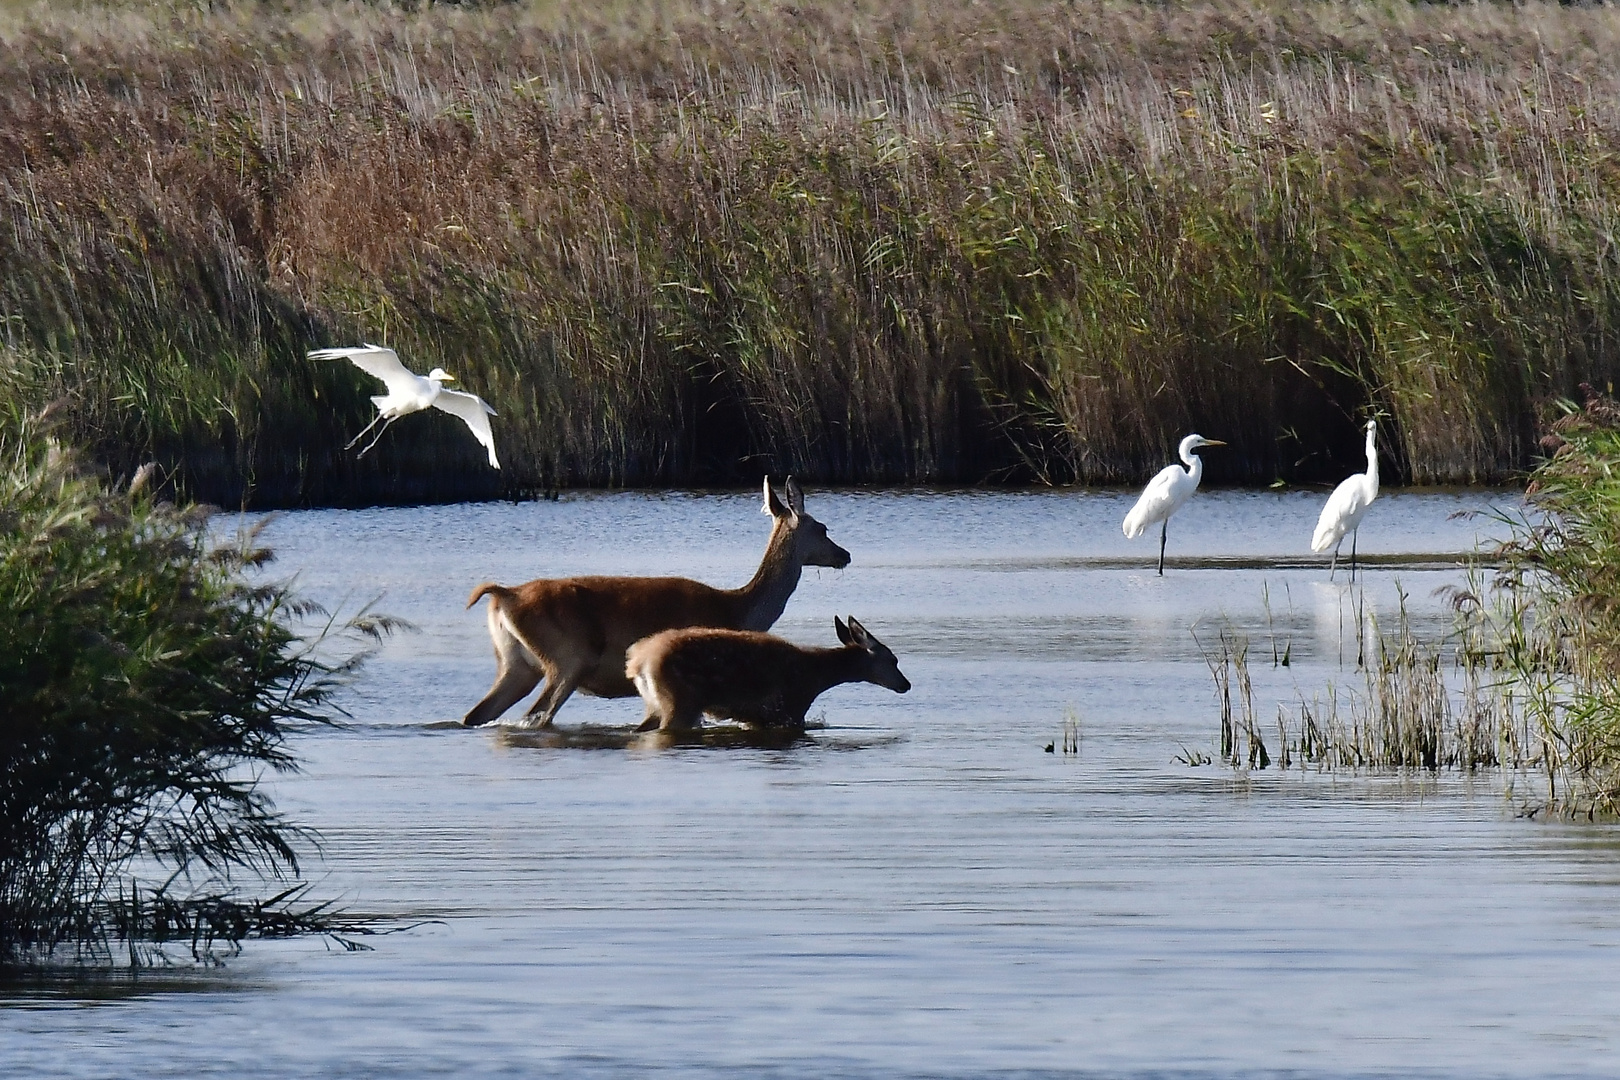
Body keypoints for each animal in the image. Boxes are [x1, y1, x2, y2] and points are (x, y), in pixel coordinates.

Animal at [460, 479, 848, 725]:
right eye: (823, 528)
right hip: (568, 658)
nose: (844, 554)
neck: (738, 610)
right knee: (537, 715)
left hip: (516, 664)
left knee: (477, 714)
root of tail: (503, 595)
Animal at [622, 615, 913, 735]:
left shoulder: (758, 718)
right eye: (893, 660)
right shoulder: (789, 710)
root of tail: (638, 661)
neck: (817, 676)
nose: (906, 684)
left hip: (656, 704)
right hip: (680, 701)